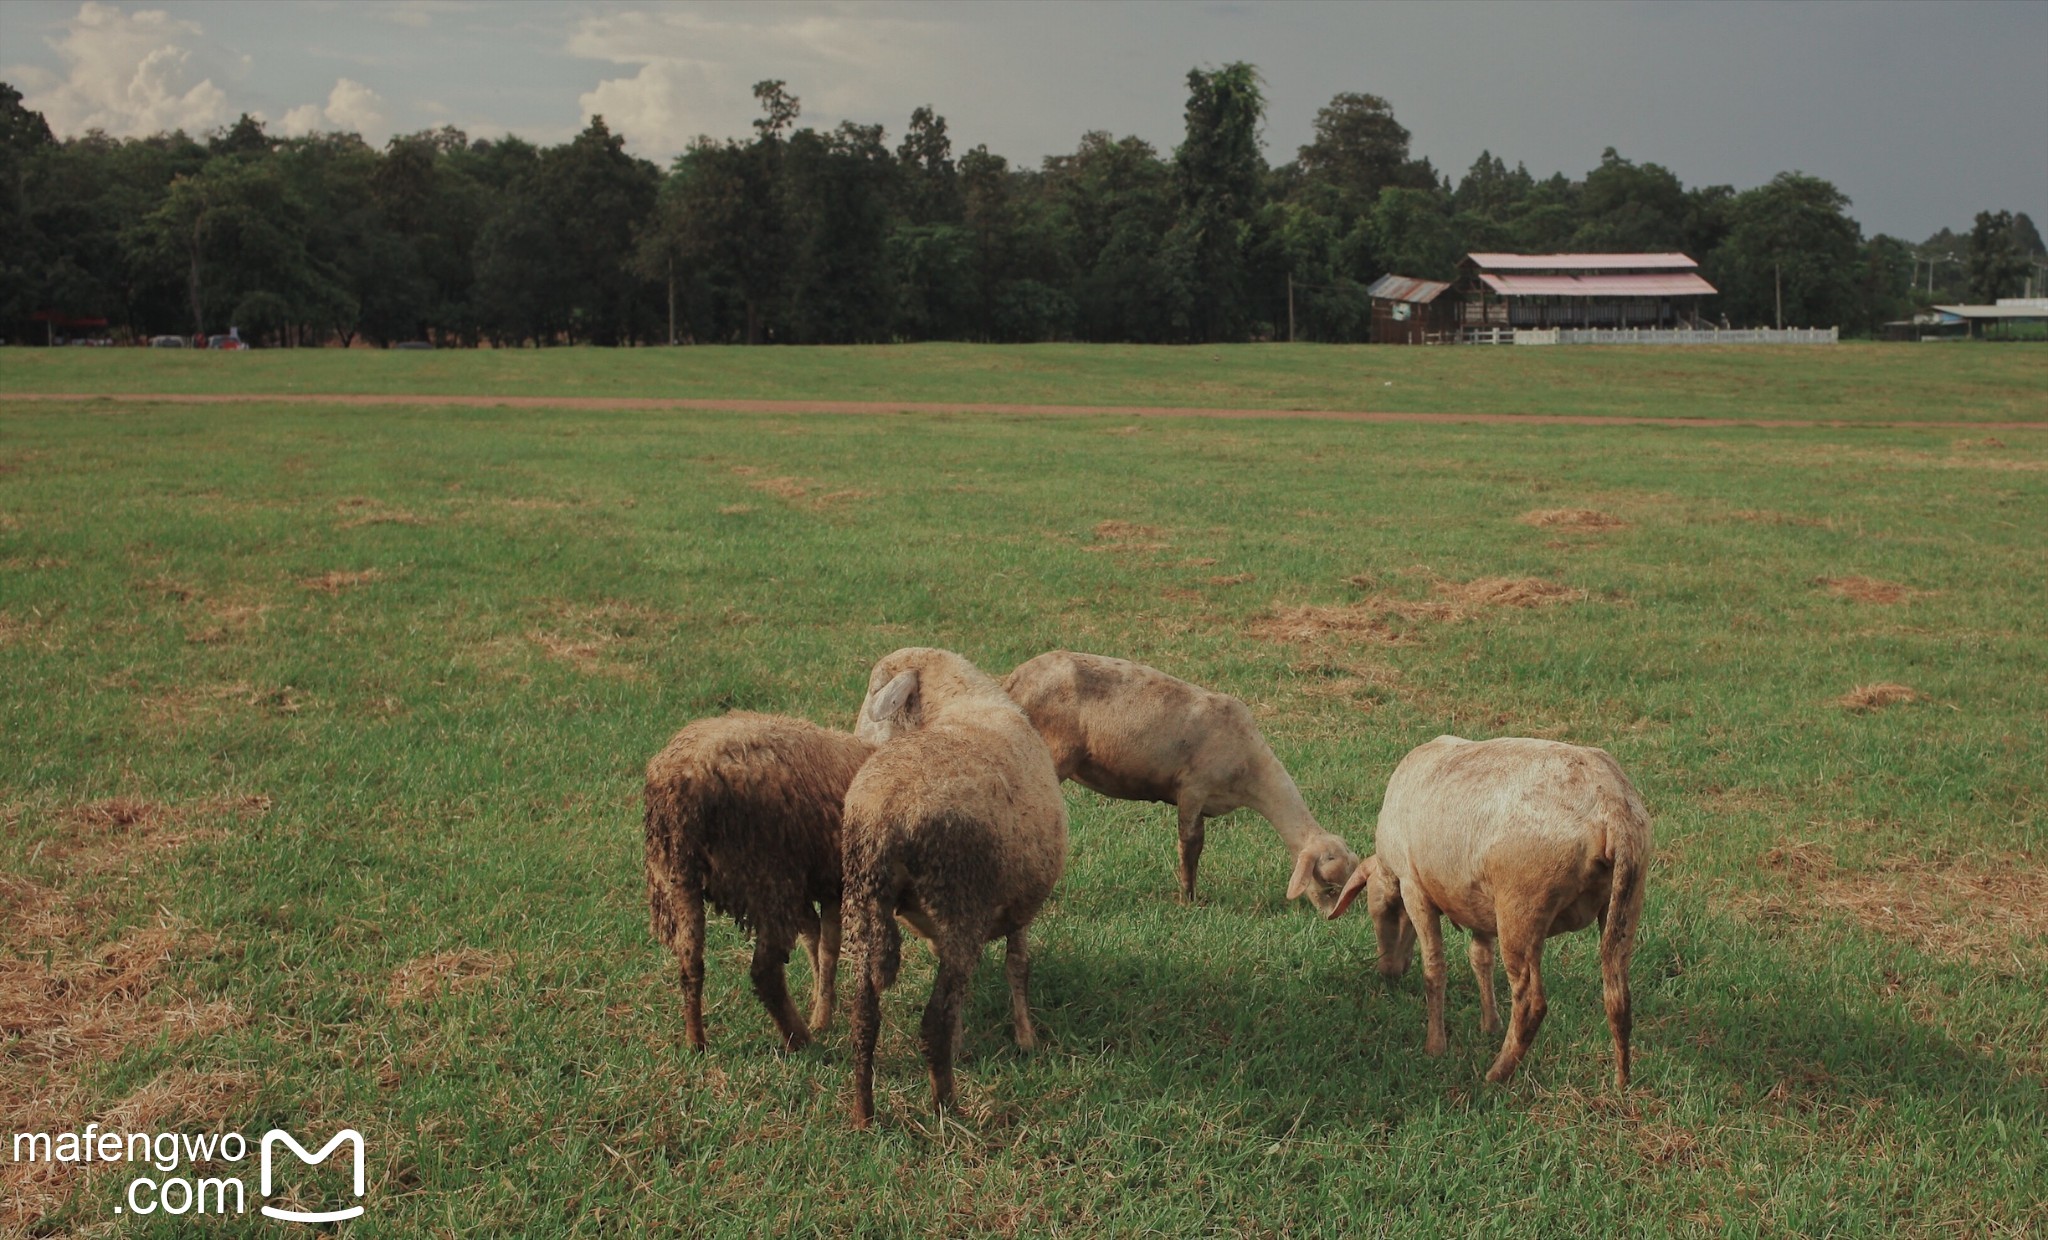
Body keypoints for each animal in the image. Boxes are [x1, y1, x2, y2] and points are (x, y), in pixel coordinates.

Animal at [634, 709, 868, 1049]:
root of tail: (681, 784)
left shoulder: (815, 885)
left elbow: (815, 939)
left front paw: (820, 1005)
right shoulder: (830, 882)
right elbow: (828, 947)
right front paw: (823, 1015)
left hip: (678, 878)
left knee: (690, 961)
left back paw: (696, 1042)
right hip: (766, 877)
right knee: (764, 972)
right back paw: (800, 1040)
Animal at [843, 643, 1073, 1123]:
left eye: (873, 692)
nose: (855, 740)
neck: (962, 702)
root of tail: (885, 814)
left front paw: (964, 1043)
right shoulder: (1019, 908)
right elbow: (1018, 967)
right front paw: (1026, 1039)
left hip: (863, 903)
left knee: (864, 1014)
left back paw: (863, 1114)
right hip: (959, 900)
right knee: (932, 1021)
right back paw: (946, 1105)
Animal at [995, 647, 1351, 910]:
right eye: (1329, 886)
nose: (1333, 918)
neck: (1252, 772)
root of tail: (1015, 680)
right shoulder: (1193, 788)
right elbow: (1190, 844)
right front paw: (1188, 900)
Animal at [1327, 733, 1646, 1082]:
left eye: (1382, 912)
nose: (1388, 973)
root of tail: (1609, 806)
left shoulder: (1414, 888)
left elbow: (1434, 969)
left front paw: (1435, 1047)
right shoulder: (1477, 903)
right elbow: (1480, 959)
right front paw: (1489, 1025)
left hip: (1521, 907)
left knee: (1531, 1003)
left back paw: (1496, 1075)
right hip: (1626, 900)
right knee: (1618, 996)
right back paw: (1621, 1082)